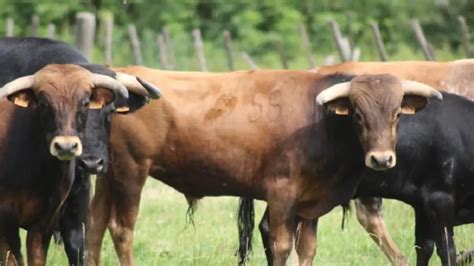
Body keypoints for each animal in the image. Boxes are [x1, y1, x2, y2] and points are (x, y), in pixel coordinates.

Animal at [87, 67, 438, 266]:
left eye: (396, 114)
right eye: (358, 114)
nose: (381, 159)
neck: (320, 121)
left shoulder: (311, 202)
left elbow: (307, 249)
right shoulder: (281, 193)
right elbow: (282, 246)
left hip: (108, 172)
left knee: (95, 224)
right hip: (131, 171)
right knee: (121, 229)